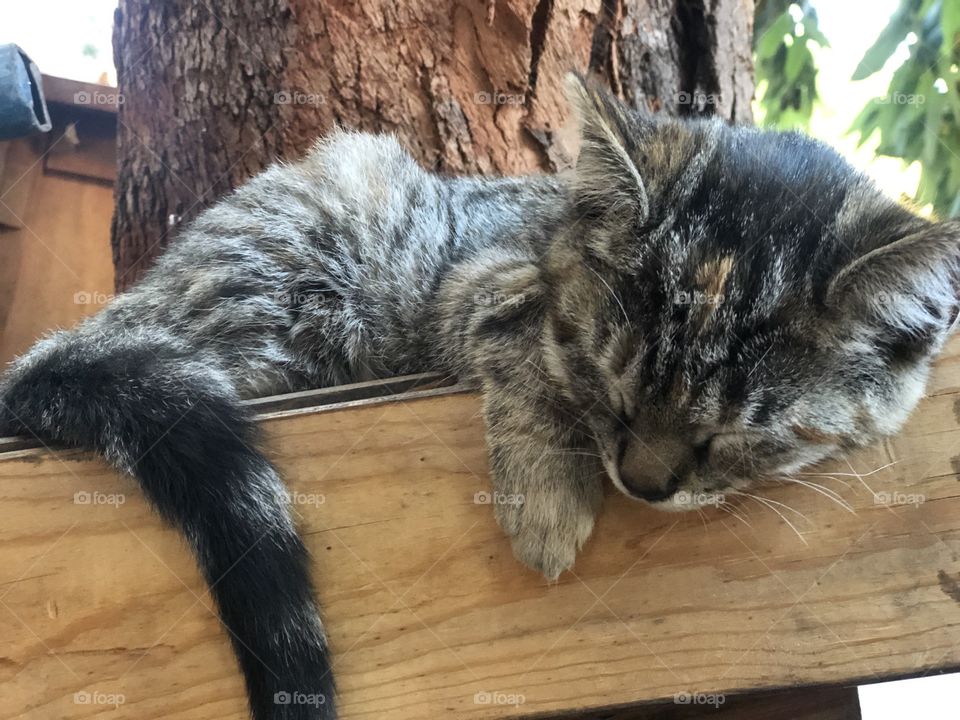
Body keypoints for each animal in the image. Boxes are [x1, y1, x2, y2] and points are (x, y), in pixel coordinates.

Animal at [1, 74, 960, 720]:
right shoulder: (480, 281)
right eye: (612, 386)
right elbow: (531, 350)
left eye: (732, 435)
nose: (644, 482)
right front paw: (546, 494)